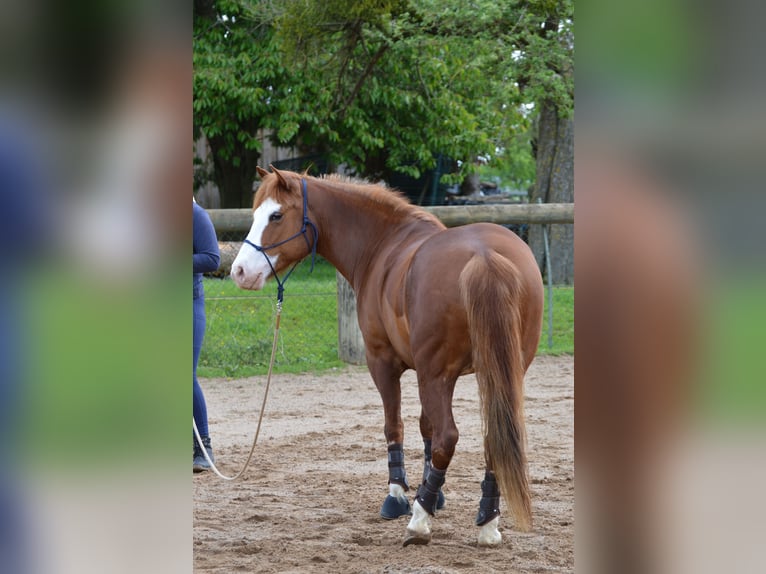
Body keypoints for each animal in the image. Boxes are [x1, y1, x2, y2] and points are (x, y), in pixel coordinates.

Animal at [231, 166, 544, 547]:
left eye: (275, 215)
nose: (240, 271)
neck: (384, 244)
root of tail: (485, 256)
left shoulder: (385, 363)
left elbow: (395, 426)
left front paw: (400, 496)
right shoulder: (437, 373)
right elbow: (425, 426)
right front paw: (433, 494)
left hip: (437, 374)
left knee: (448, 438)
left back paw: (420, 523)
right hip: (500, 372)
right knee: (493, 439)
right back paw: (487, 522)